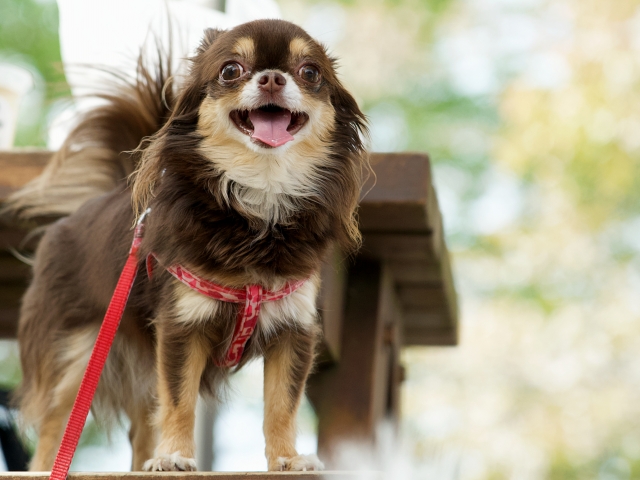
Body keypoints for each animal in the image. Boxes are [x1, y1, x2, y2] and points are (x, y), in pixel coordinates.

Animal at [5, 19, 368, 472]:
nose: (271, 78)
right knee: (55, 425)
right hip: (75, 355)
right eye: (230, 70)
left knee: (142, 428)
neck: (260, 201)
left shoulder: (292, 328)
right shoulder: (182, 325)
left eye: (310, 73)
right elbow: (180, 402)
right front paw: (176, 456)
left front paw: (287, 459)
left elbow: (282, 406)